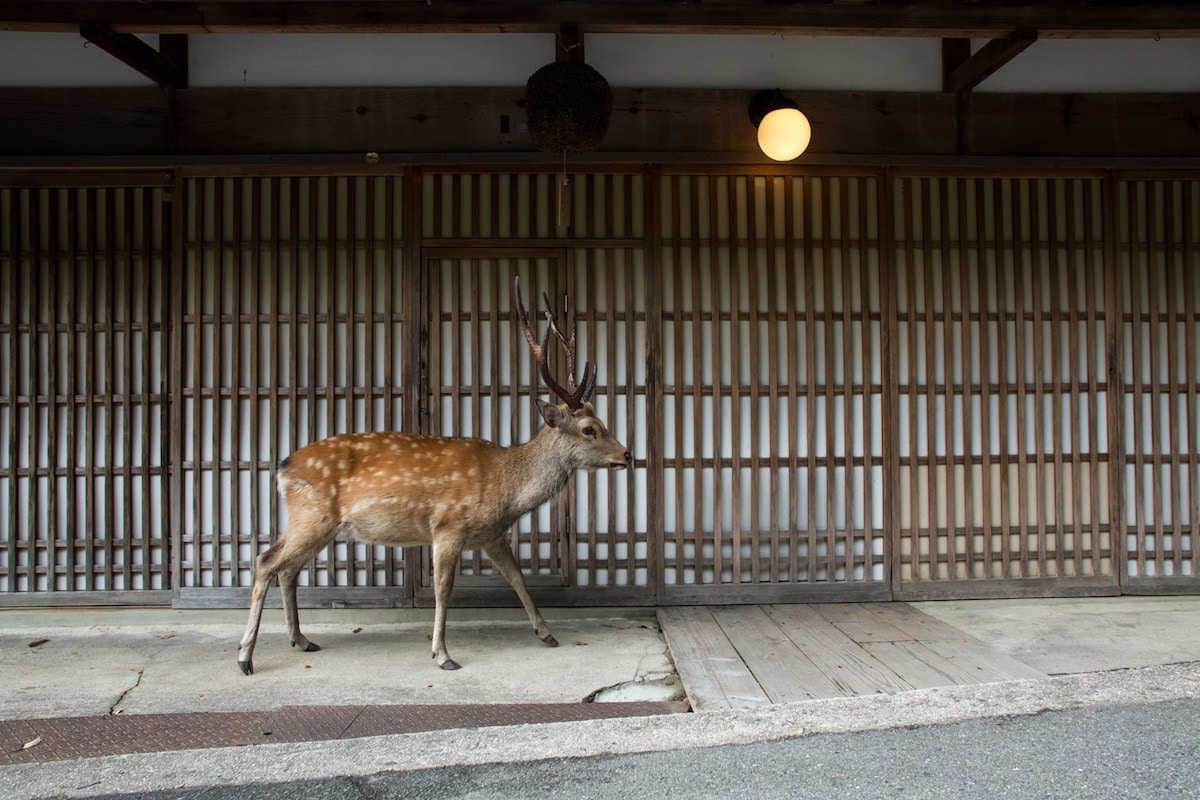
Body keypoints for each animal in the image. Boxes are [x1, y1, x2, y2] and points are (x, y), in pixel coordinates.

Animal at [234, 278, 628, 671]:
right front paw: (442, 654)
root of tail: (282, 468)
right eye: (590, 429)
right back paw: (245, 655)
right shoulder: (447, 526)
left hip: (315, 523)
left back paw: (301, 640)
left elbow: (517, 578)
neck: (505, 488)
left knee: (286, 568)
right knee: (266, 561)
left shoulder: (491, 535)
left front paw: (546, 634)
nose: (627, 454)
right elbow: (443, 589)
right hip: (313, 515)